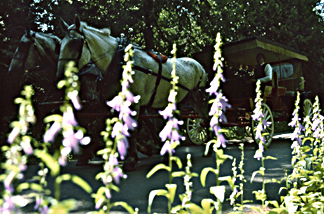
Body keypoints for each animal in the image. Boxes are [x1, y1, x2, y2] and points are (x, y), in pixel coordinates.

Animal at [57, 14, 210, 171]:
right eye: (61, 43)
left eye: (75, 43)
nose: (61, 75)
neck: (120, 62)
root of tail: (199, 65)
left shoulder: (134, 102)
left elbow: (132, 129)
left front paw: (131, 159)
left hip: (198, 98)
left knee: (205, 118)